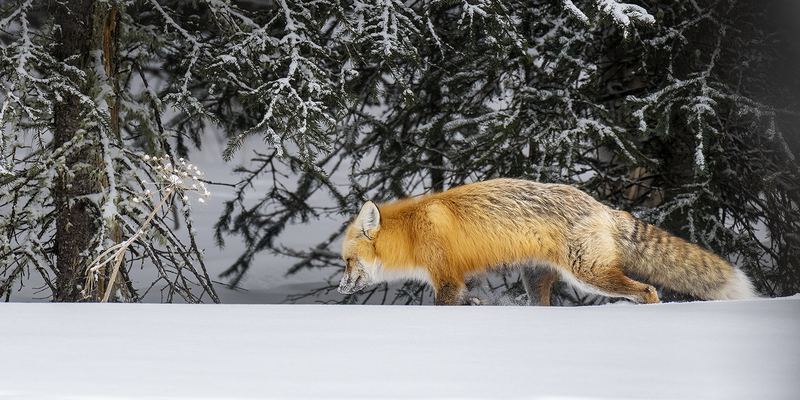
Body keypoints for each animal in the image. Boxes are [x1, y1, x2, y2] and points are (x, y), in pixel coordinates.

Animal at [338, 178, 757, 305]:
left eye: (346, 261)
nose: (340, 287)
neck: (412, 232)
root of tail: (603, 207)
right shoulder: (463, 282)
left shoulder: (447, 280)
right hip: (536, 278)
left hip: (590, 274)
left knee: (649, 290)